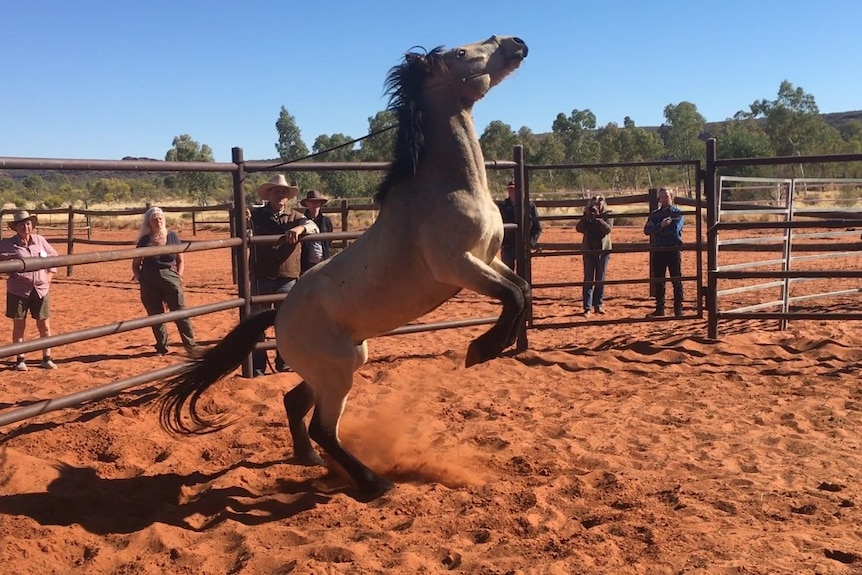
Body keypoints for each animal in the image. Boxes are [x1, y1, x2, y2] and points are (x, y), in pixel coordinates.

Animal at [159, 36, 528, 498]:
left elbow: (523, 291)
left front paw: (496, 345)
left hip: (342, 363)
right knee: (323, 427)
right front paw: (481, 349)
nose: (517, 43)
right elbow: (512, 296)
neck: (446, 189)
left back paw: (311, 460)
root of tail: (279, 313)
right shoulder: (459, 266)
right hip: (335, 373)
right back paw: (374, 483)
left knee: (296, 404)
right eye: (461, 53)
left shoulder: (489, 258)